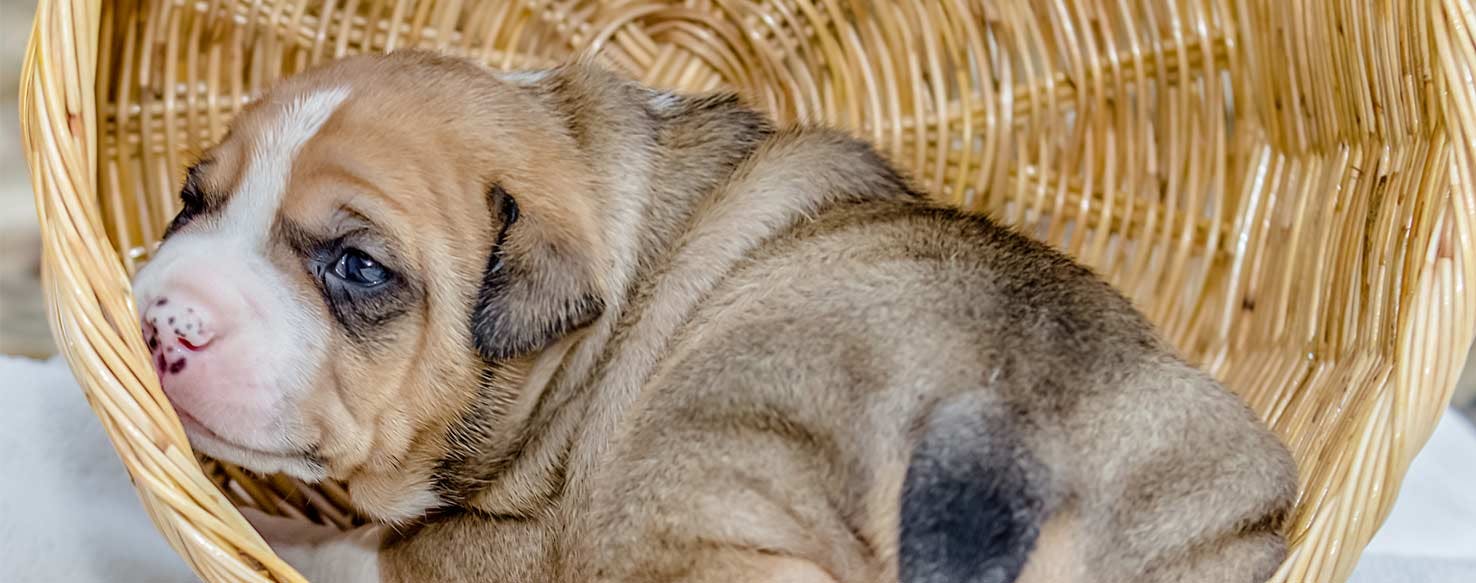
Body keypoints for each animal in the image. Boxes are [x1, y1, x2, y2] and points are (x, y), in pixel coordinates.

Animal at [132, 51, 1298, 583]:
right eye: (191, 197)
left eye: (358, 267)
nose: (162, 320)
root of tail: (1009, 431)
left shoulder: (498, 553)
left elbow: (361, 545)